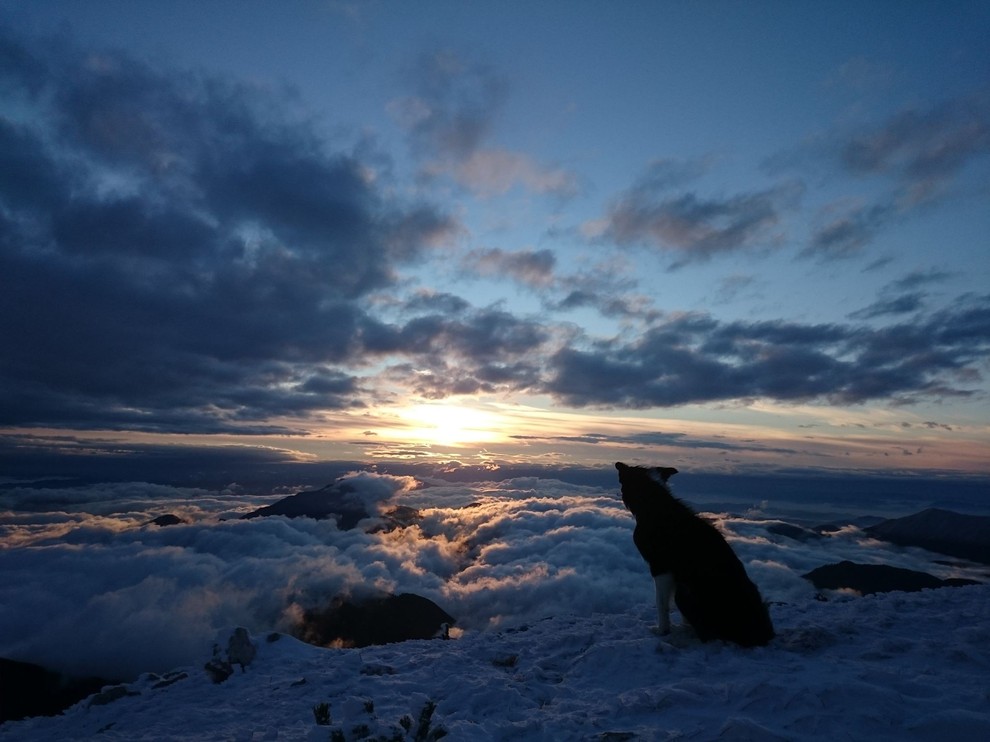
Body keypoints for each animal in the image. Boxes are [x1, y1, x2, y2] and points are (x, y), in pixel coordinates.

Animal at [620, 462, 776, 648]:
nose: (618, 464)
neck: (655, 505)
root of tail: (762, 633)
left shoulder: (661, 568)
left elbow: (661, 603)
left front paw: (662, 630)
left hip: (684, 593)